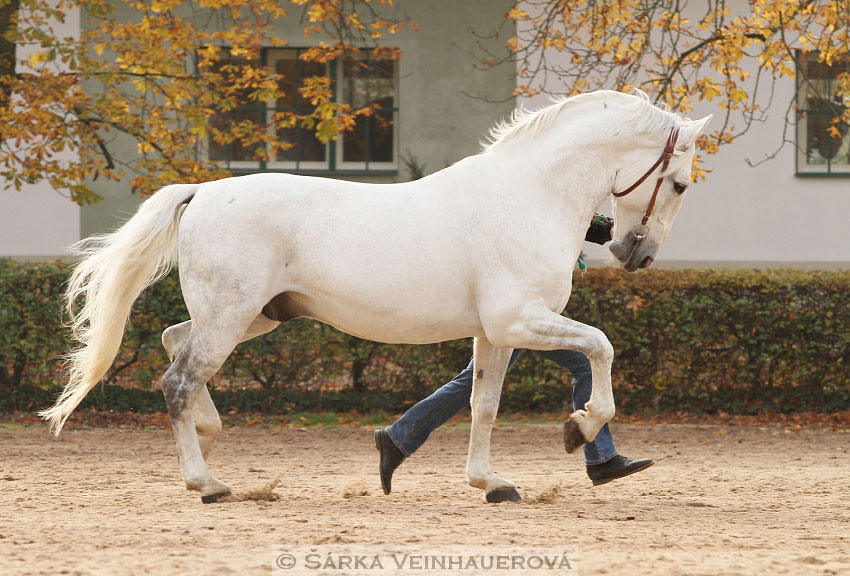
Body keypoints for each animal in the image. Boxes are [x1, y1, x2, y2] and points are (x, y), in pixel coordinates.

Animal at [43, 90, 712, 504]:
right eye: (680, 184)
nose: (637, 254)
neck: (531, 196)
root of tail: (202, 192)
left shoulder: (494, 333)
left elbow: (483, 405)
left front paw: (491, 483)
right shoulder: (518, 320)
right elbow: (600, 348)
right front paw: (579, 428)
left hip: (253, 316)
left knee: (173, 342)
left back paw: (210, 436)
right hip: (232, 316)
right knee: (179, 380)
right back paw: (206, 484)